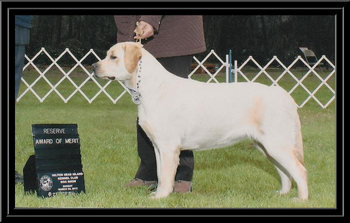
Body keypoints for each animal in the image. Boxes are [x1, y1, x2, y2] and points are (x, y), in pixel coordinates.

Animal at [93, 41, 308, 200]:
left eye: (113, 57)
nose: (94, 66)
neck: (151, 87)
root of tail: (282, 94)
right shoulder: (158, 146)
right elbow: (160, 174)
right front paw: (158, 194)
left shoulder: (169, 146)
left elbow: (166, 175)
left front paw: (161, 198)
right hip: (266, 146)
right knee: (285, 172)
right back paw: (282, 194)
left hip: (276, 143)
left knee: (300, 170)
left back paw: (300, 199)